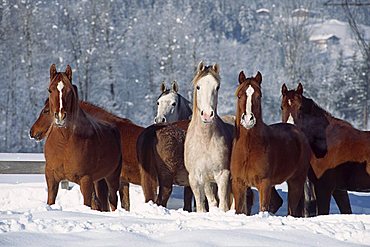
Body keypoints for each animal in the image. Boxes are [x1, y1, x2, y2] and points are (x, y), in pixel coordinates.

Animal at [43, 63, 121, 210]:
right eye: (50, 90)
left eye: (69, 91)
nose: (60, 117)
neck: (64, 142)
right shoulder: (51, 177)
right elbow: (50, 201)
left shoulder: (85, 180)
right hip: (99, 180)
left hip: (112, 176)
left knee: (113, 200)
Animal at [184, 61, 233, 212]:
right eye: (198, 86)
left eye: (217, 87)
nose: (207, 115)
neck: (205, 141)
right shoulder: (195, 178)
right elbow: (201, 205)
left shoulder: (223, 175)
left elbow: (223, 204)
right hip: (207, 181)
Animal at [231, 70, 312, 216]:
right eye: (239, 96)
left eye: (259, 96)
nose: (248, 119)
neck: (248, 149)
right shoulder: (238, 184)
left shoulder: (265, 184)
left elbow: (264, 208)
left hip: (296, 181)